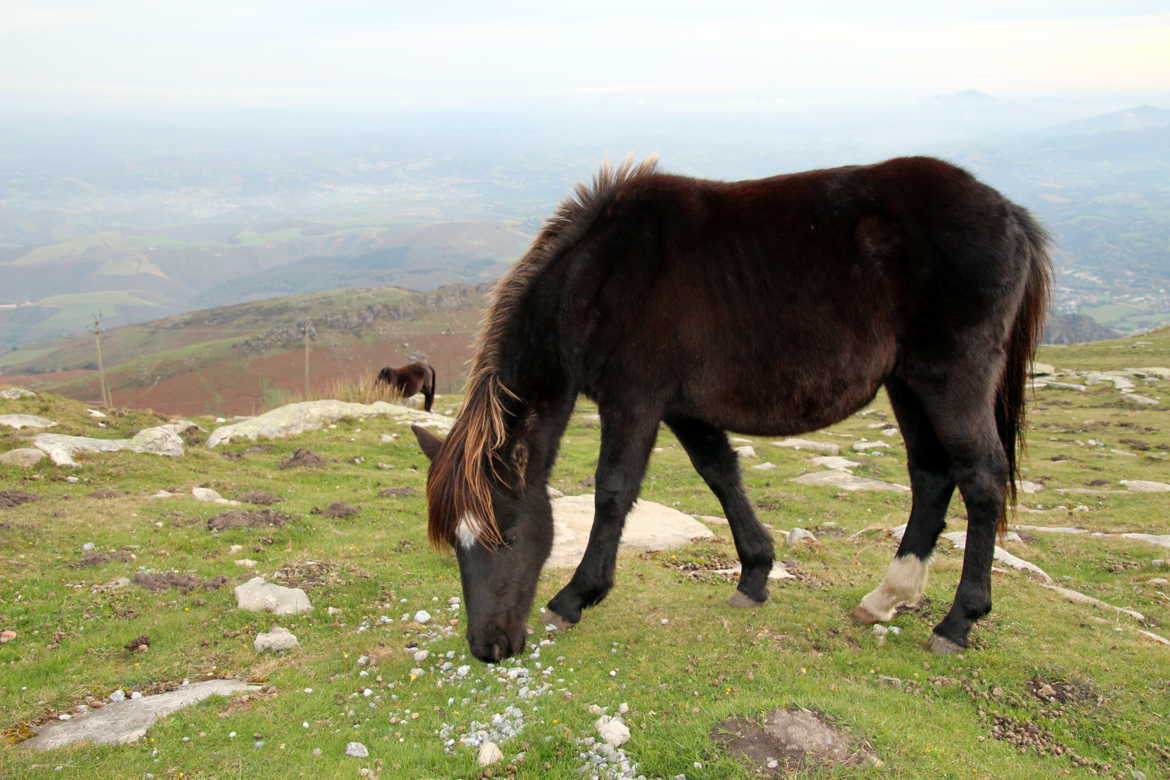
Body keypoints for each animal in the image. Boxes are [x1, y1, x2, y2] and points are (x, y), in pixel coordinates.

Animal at [411, 159, 1053, 664]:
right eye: (458, 544)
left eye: (509, 534)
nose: (488, 647)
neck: (597, 276)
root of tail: (1010, 214)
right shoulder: (683, 409)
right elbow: (720, 474)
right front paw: (755, 575)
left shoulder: (635, 401)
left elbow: (613, 491)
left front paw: (575, 597)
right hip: (909, 384)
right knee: (932, 476)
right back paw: (887, 597)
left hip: (950, 380)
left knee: (980, 480)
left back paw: (957, 622)